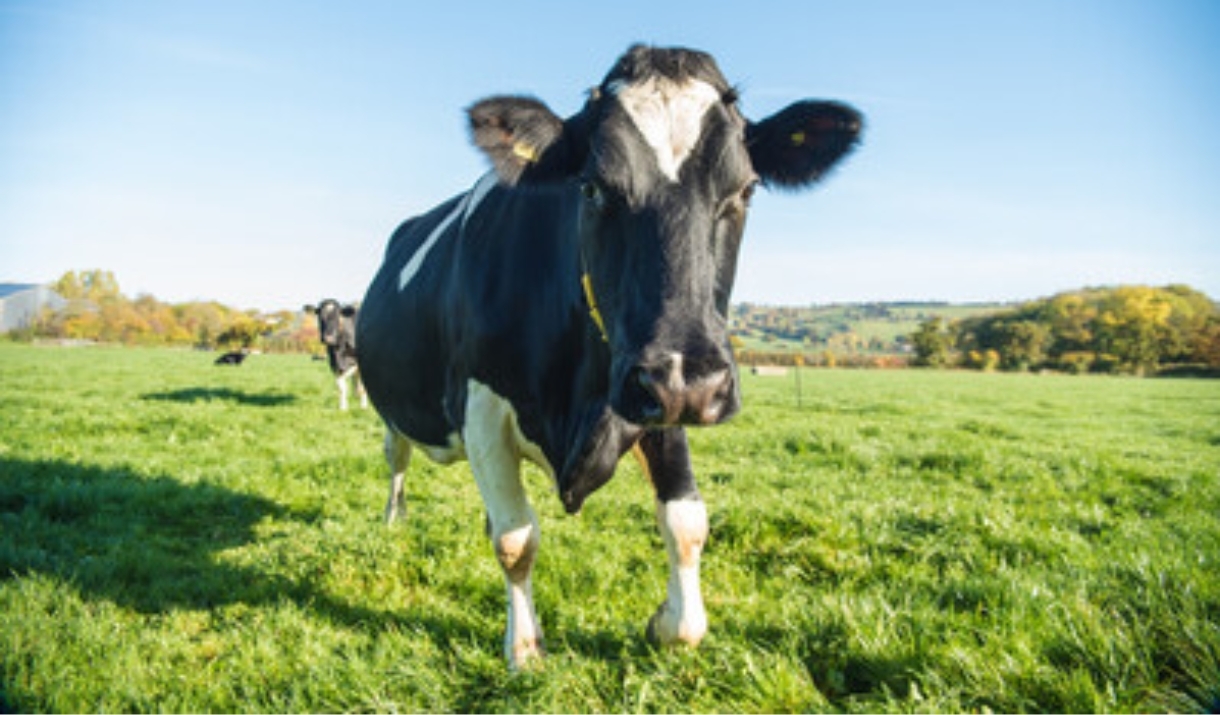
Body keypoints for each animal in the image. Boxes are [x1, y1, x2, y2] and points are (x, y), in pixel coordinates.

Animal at [357, 44, 861, 667]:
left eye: (745, 190)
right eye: (593, 188)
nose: (694, 382)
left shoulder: (655, 392)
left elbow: (686, 523)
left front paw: (668, 623)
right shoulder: (484, 407)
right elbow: (515, 540)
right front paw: (524, 648)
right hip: (391, 407)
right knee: (397, 459)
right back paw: (394, 517)